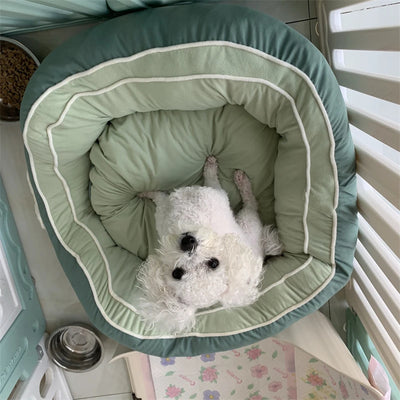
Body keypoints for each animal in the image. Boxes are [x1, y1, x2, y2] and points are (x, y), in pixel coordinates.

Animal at [138, 157, 282, 334]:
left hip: (247, 223)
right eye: (177, 273)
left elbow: (209, 179)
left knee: (251, 204)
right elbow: (158, 195)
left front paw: (210, 166)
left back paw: (242, 181)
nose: (188, 242)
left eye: (214, 263)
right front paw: (144, 193)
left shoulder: (214, 193)